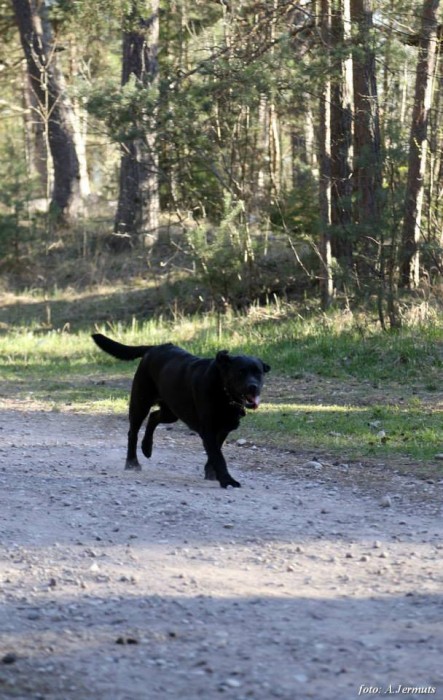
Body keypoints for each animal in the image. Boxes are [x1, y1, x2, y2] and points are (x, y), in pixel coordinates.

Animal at [92, 333, 270, 488]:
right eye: (240, 372)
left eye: (258, 372)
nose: (253, 386)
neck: (223, 391)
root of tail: (156, 347)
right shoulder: (208, 430)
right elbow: (218, 457)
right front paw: (227, 480)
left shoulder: (223, 429)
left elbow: (215, 453)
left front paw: (211, 473)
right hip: (140, 402)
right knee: (133, 432)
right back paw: (132, 462)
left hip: (171, 411)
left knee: (154, 416)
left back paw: (147, 448)